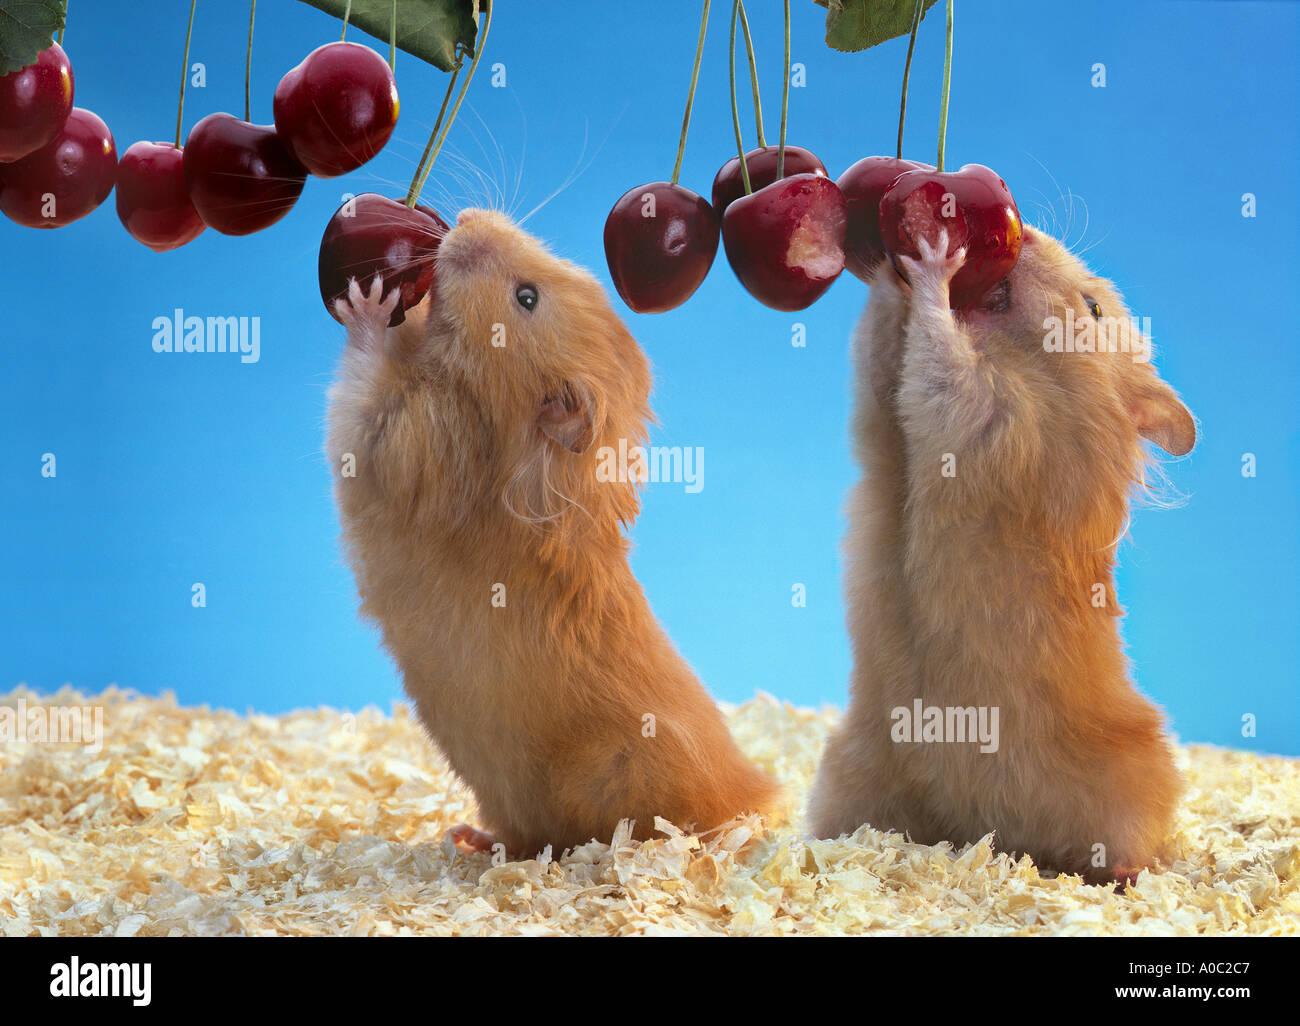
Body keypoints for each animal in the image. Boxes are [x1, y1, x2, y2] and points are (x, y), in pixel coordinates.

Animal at [325, 208, 777, 858]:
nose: (467, 219)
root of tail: (747, 806)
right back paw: (468, 835)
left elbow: (363, 391)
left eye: (527, 298)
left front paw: (370, 304)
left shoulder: (398, 445)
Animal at [808, 226, 1196, 886]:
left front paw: (935, 263)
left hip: (1134, 784)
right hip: (855, 768)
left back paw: (1125, 876)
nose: (1030, 234)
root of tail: (984, 830)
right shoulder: (886, 419)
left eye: (1093, 307)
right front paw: (890, 272)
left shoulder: (988, 415)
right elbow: (880, 360)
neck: (1039, 364)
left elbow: (937, 358)